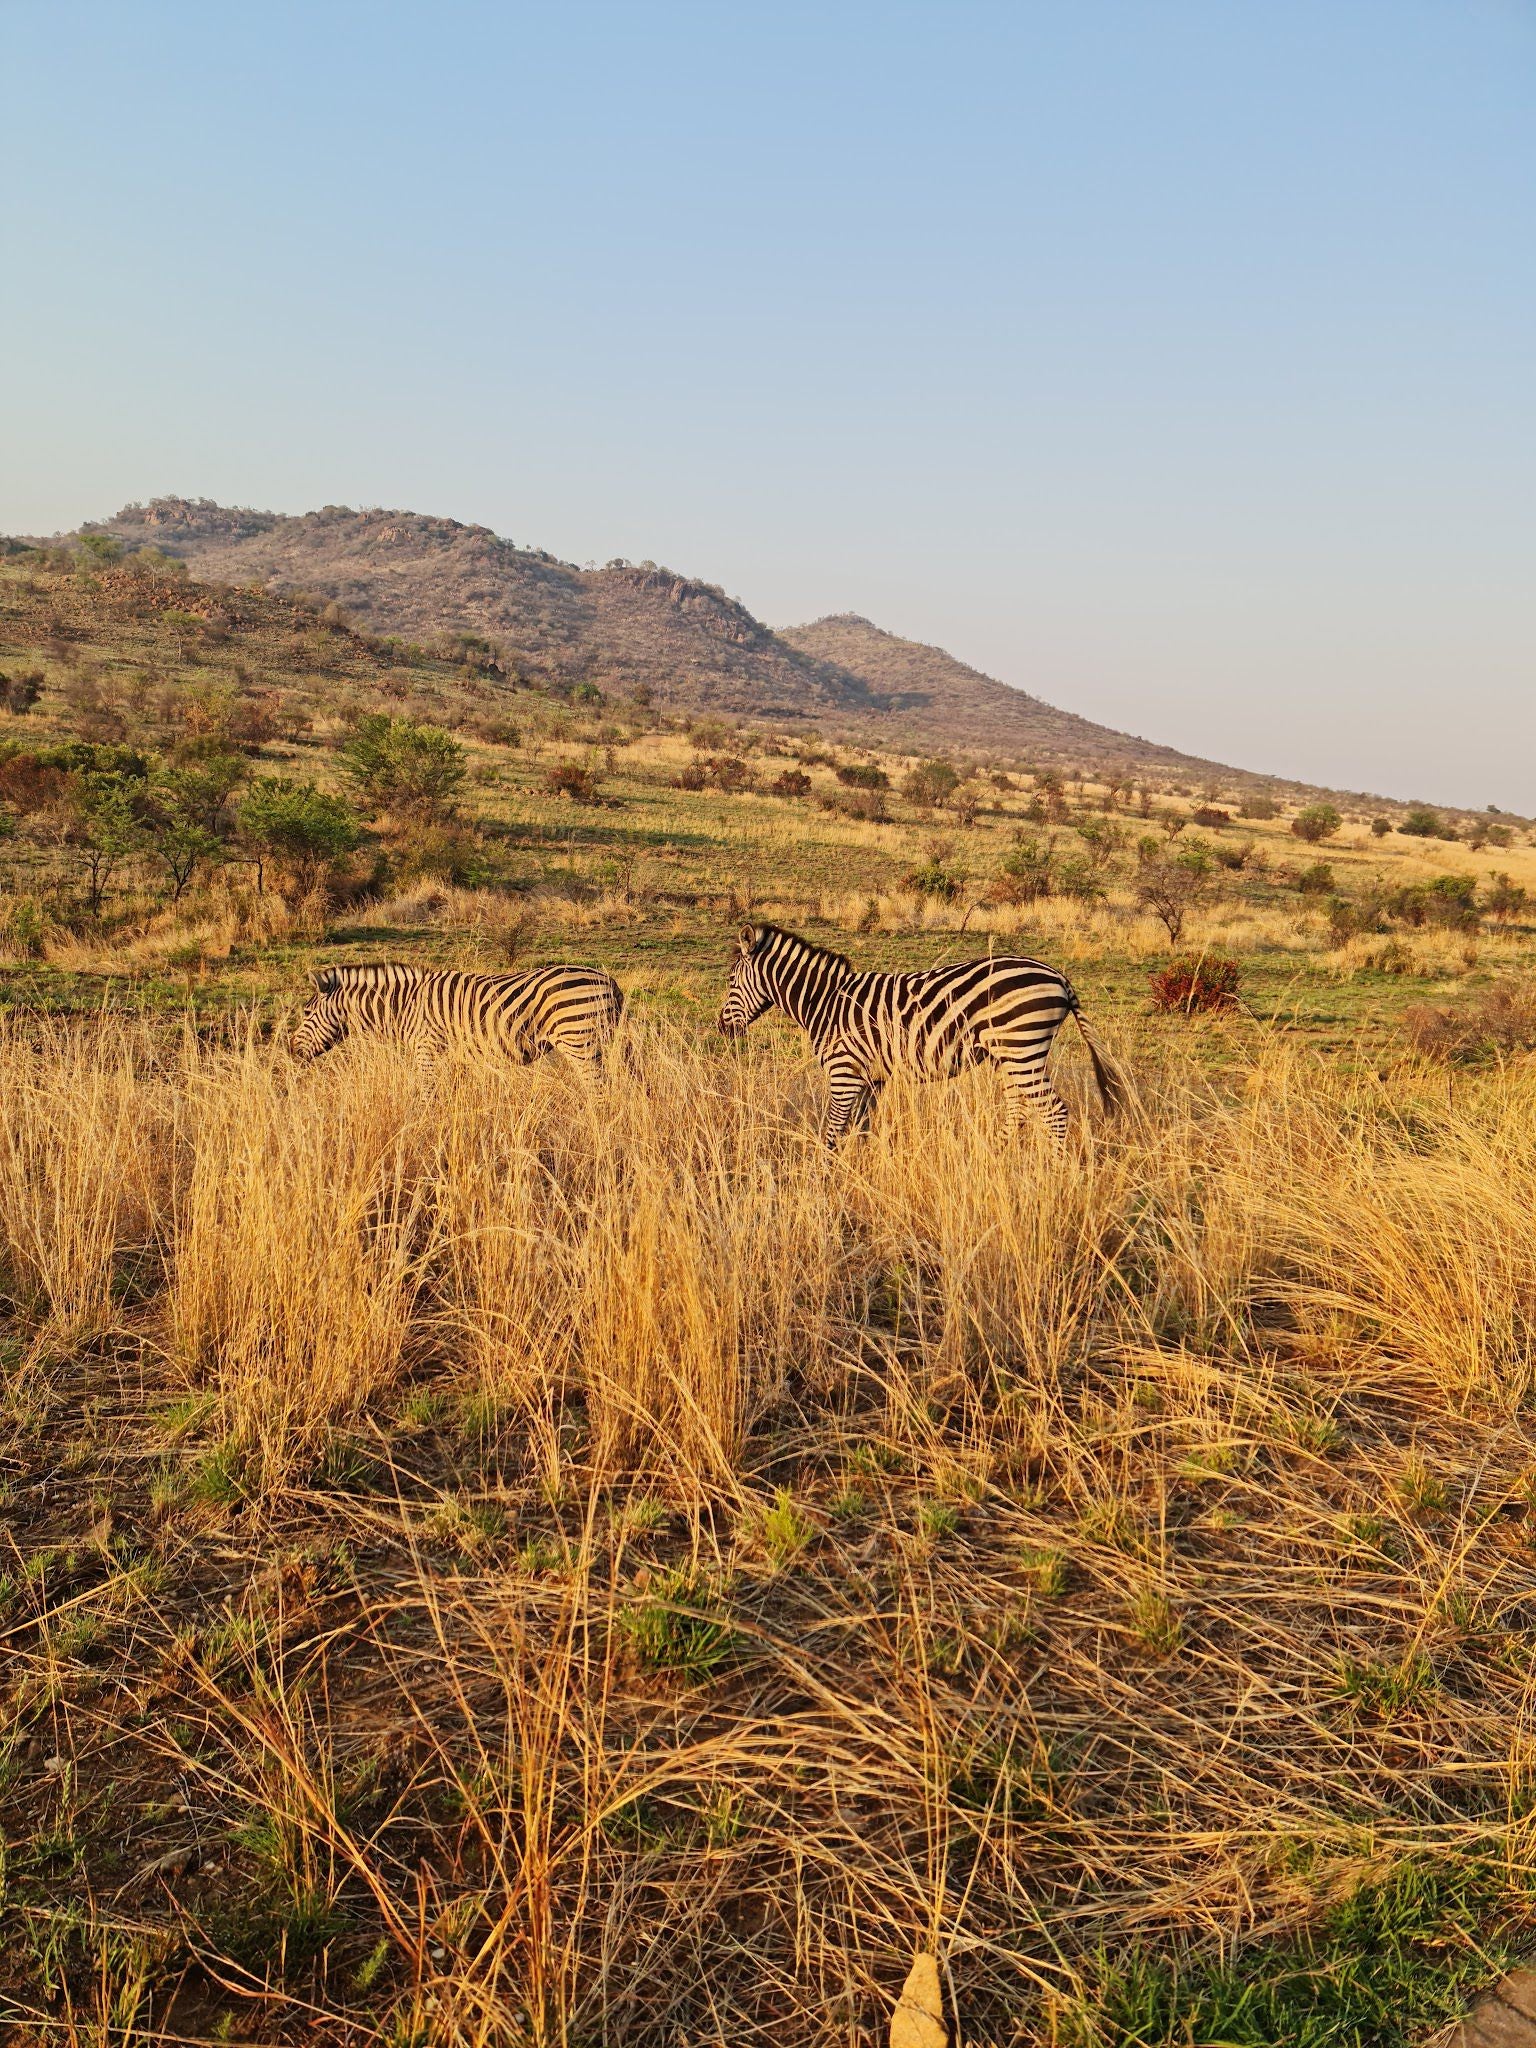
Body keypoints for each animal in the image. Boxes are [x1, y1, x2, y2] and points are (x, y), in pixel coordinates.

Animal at [288, 962, 626, 1073]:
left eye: (306, 1013)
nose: (290, 1051)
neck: (404, 1006)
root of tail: (609, 980)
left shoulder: (426, 1051)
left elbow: (427, 1099)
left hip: (579, 1041)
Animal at [716, 933, 1122, 1155]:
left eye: (732, 981)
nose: (721, 1027)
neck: (826, 1002)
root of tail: (1058, 977)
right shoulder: (870, 1077)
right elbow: (861, 1128)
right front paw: (862, 1170)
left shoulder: (844, 1071)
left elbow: (832, 1130)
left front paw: (825, 1175)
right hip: (1011, 1055)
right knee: (1019, 1108)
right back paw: (994, 1157)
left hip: (1021, 1048)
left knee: (1053, 1112)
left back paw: (1050, 1174)